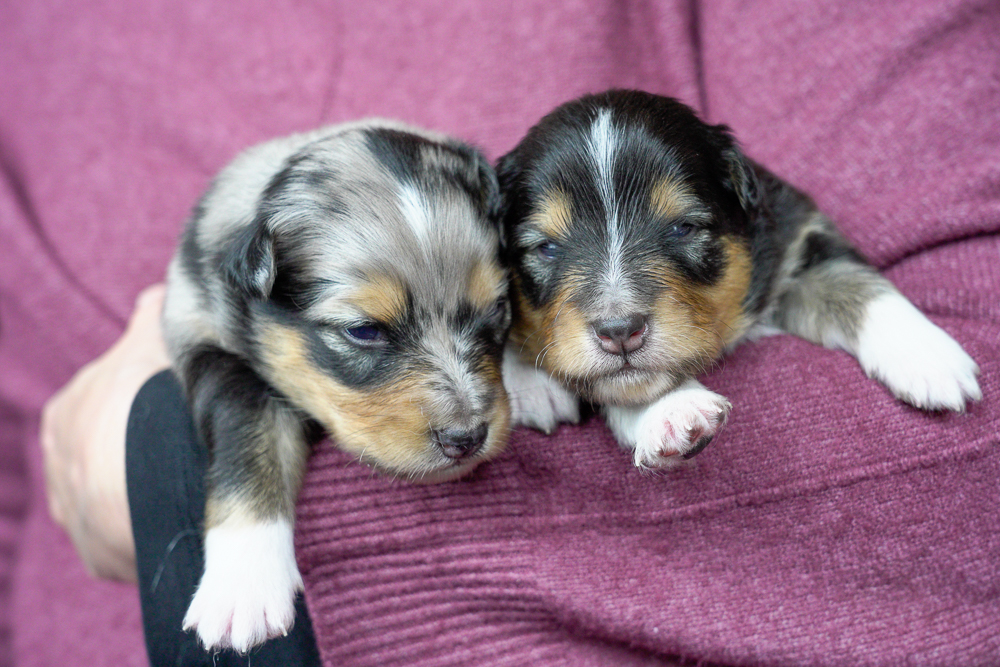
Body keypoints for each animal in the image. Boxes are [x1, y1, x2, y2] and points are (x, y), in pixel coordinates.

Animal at [161, 120, 511, 651]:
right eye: (363, 330)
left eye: (496, 309)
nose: (467, 438)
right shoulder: (200, 335)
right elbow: (248, 427)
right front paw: (246, 580)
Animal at [497, 90, 981, 468]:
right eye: (546, 248)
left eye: (683, 228)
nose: (620, 332)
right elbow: (627, 383)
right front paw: (673, 409)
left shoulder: (795, 240)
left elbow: (852, 280)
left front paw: (928, 356)